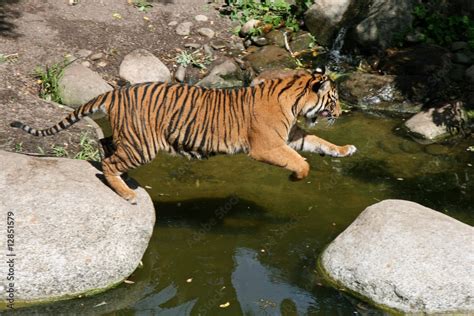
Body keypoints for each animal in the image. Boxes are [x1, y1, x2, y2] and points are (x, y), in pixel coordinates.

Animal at [10, 68, 356, 204]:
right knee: (109, 163)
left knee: (104, 144)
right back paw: (127, 194)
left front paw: (345, 149)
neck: (294, 100)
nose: (340, 114)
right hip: (143, 145)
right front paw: (297, 178)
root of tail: (116, 92)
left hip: (130, 140)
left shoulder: (292, 135)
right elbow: (301, 161)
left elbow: (319, 144)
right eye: (334, 100)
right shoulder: (267, 146)